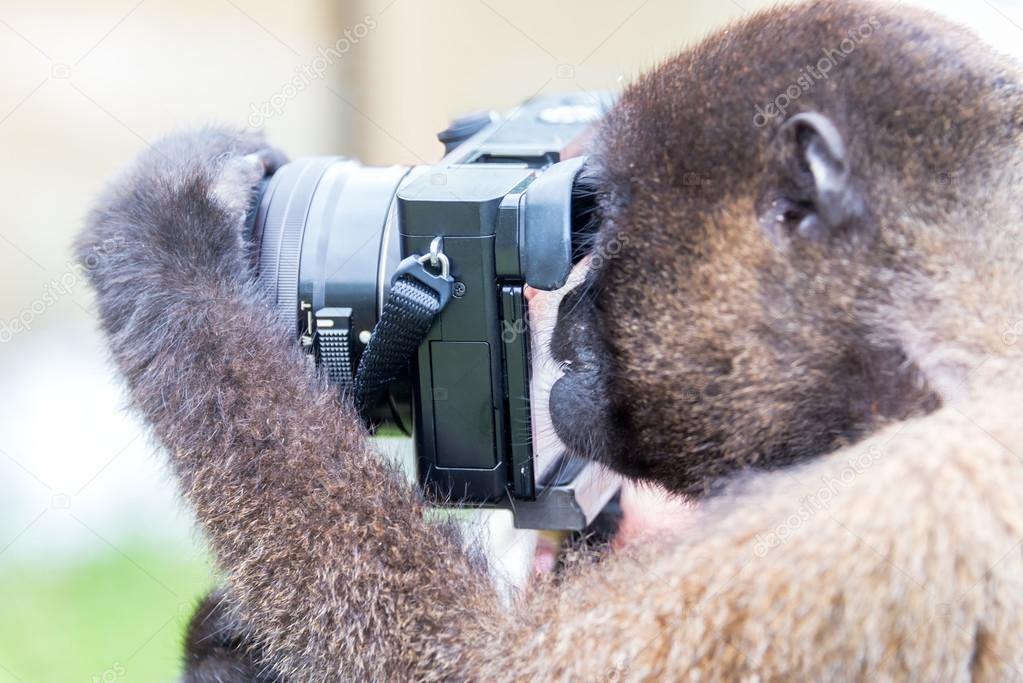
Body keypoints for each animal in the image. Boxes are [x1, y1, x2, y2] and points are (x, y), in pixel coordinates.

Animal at [74, 0, 1023, 678]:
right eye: (584, 229)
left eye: (609, 228)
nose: (569, 307)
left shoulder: (886, 509)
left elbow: (469, 660)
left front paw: (168, 240)